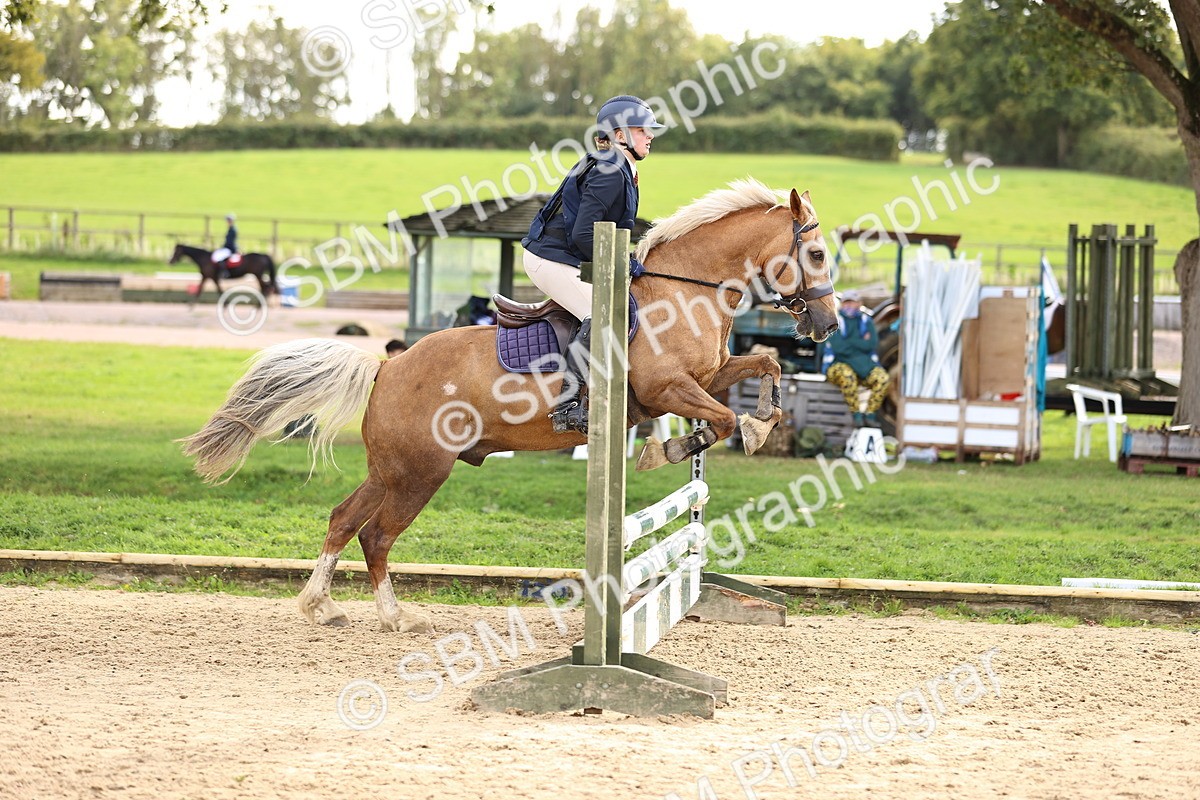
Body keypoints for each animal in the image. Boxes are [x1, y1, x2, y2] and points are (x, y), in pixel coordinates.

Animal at [180, 179, 840, 633]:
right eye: (817, 256)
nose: (828, 326)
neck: (685, 292)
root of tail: (389, 365)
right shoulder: (665, 388)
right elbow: (719, 420)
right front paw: (677, 446)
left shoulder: (708, 375)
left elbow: (766, 365)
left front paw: (763, 423)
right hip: (421, 471)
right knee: (378, 536)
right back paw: (393, 616)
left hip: (392, 469)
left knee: (345, 521)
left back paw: (326, 607)